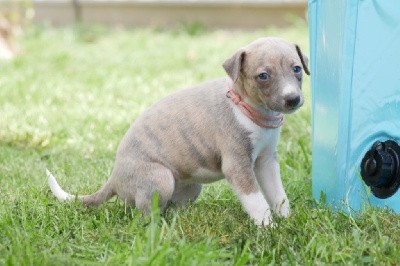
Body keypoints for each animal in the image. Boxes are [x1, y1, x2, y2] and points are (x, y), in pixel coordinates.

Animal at [47, 36, 310, 225]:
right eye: (263, 76)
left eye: (297, 69)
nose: (293, 99)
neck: (247, 108)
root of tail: (114, 176)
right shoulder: (237, 165)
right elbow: (256, 201)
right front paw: (268, 228)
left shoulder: (266, 162)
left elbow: (278, 194)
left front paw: (286, 219)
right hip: (159, 177)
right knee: (144, 214)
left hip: (190, 185)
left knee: (169, 207)